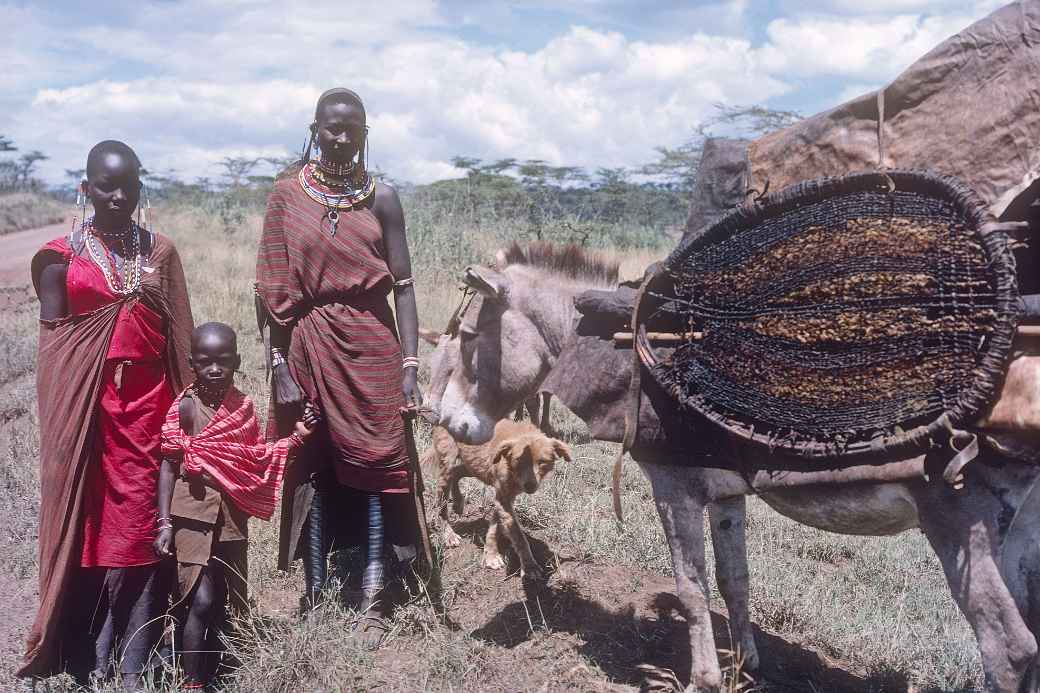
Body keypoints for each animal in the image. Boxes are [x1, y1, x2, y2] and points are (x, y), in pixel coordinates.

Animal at [422, 418, 569, 574]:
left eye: (542, 462)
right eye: (519, 461)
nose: (529, 486)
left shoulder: (504, 497)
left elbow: (495, 527)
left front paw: (491, 554)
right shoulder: (503, 497)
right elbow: (518, 535)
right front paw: (529, 565)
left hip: (475, 466)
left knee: (457, 472)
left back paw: (458, 503)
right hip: (449, 464)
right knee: (442, 503)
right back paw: (449, 534)